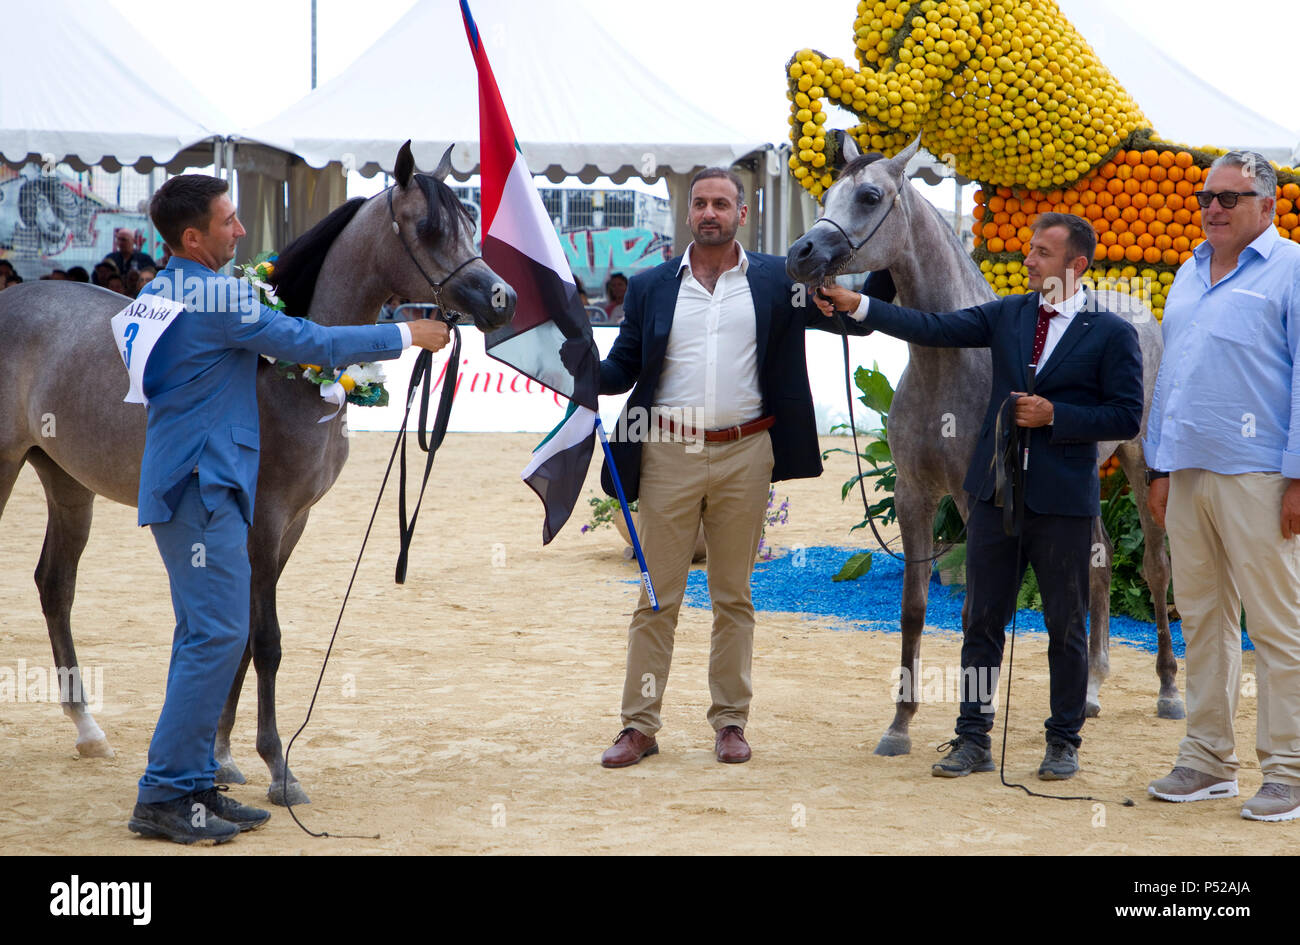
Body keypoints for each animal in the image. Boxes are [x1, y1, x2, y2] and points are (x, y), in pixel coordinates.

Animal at [0, 142, 517, 805]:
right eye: (428, 228)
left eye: (471, 222)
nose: (502, 299)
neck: (286, 374)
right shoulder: (262, 521)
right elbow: (265, 640)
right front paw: (277, 768)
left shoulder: (291, 524)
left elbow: (243, 637)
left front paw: (220, 756)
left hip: (66, 482)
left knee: (55, 586)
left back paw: (87, 729)